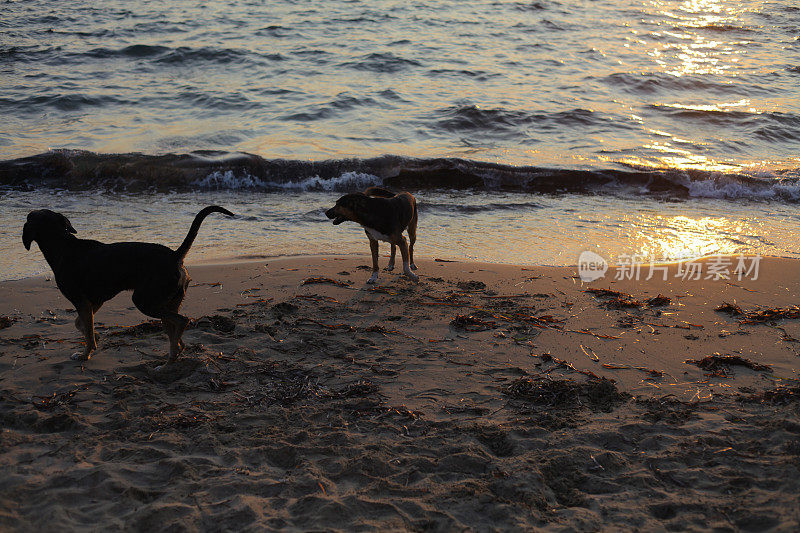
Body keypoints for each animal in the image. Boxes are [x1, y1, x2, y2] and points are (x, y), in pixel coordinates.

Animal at [21, 206, 234, 364]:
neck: (63, 245)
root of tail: (174, 256)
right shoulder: (94, 301)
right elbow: (81, 324)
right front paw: (91, 339)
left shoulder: (82, 301)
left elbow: (87, 331)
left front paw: (85, 354)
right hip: (167, 301)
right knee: (174, 325)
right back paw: (177, 350)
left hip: (145, 300)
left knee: (182, 320)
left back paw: (171, 356)